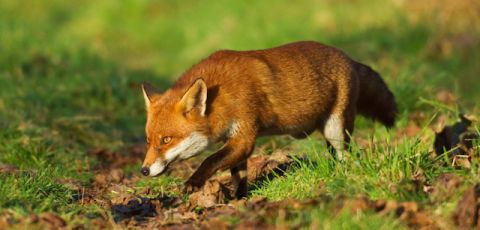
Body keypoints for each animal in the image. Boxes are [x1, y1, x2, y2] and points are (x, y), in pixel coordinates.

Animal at [140, 41, 398, 198]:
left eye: (166, 140)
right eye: (148, 141)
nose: (143, 170)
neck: (222, 95)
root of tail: (349, 58)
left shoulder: (245, 134)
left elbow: (209, 160)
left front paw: (194, 182)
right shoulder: (237, 141)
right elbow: (238, 175)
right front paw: (239, 198)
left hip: (336, 130)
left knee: (348, 156)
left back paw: (344, 176)